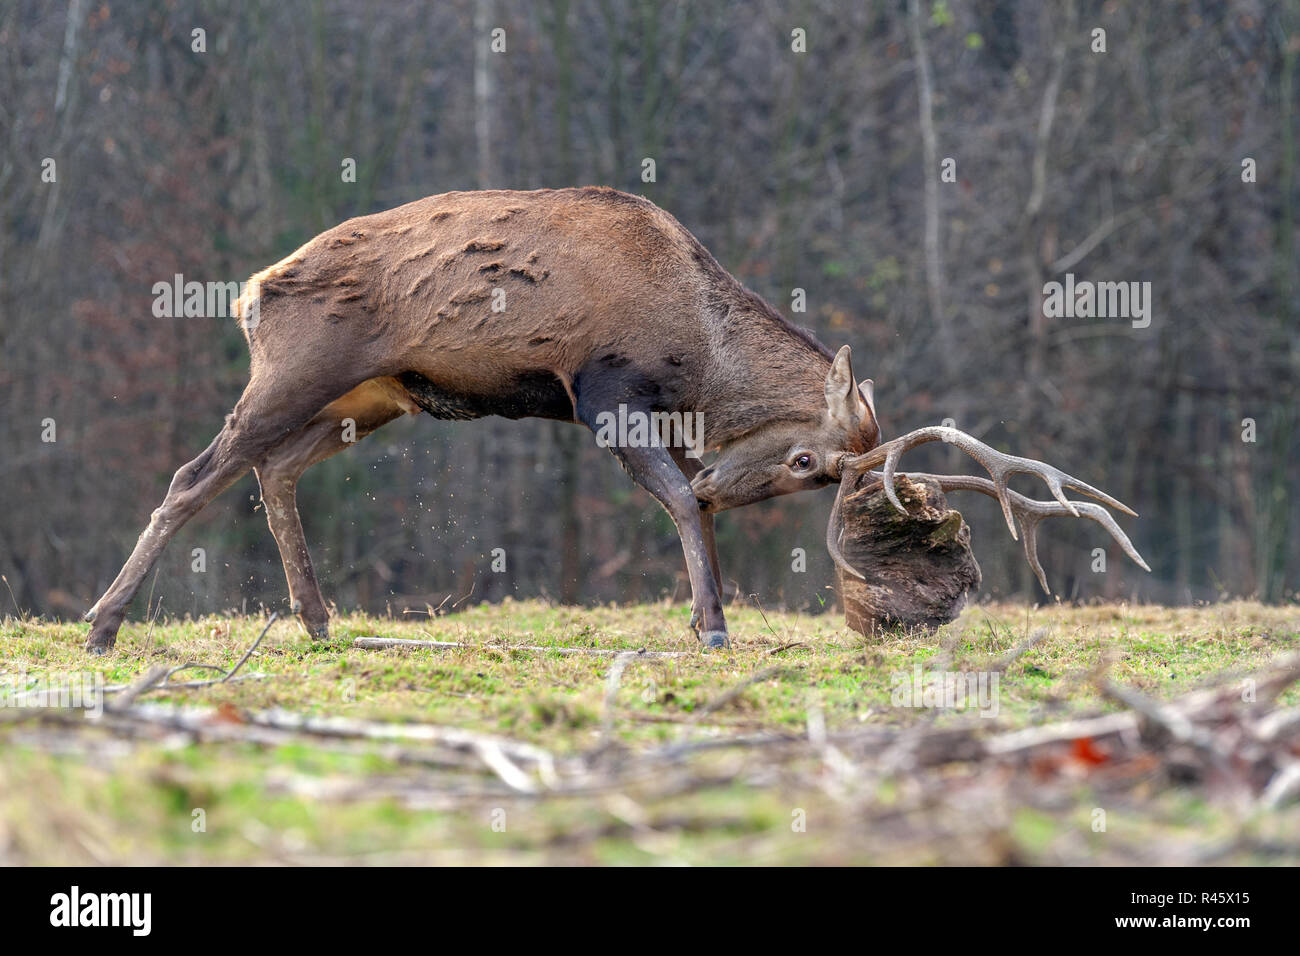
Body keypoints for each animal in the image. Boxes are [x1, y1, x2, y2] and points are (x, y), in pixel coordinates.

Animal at [81, 184, 1144, 658]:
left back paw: (315, 618)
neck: (693, 346)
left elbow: (688, 509)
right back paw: (103, 624)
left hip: (371, 398)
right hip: (299, 370)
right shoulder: (601, 390)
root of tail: (252, 292)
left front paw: (701, 612)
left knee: (272, 472)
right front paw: (711, 627)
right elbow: (678, 503)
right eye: (808, 460)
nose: (725, 472)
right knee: (195, 476)